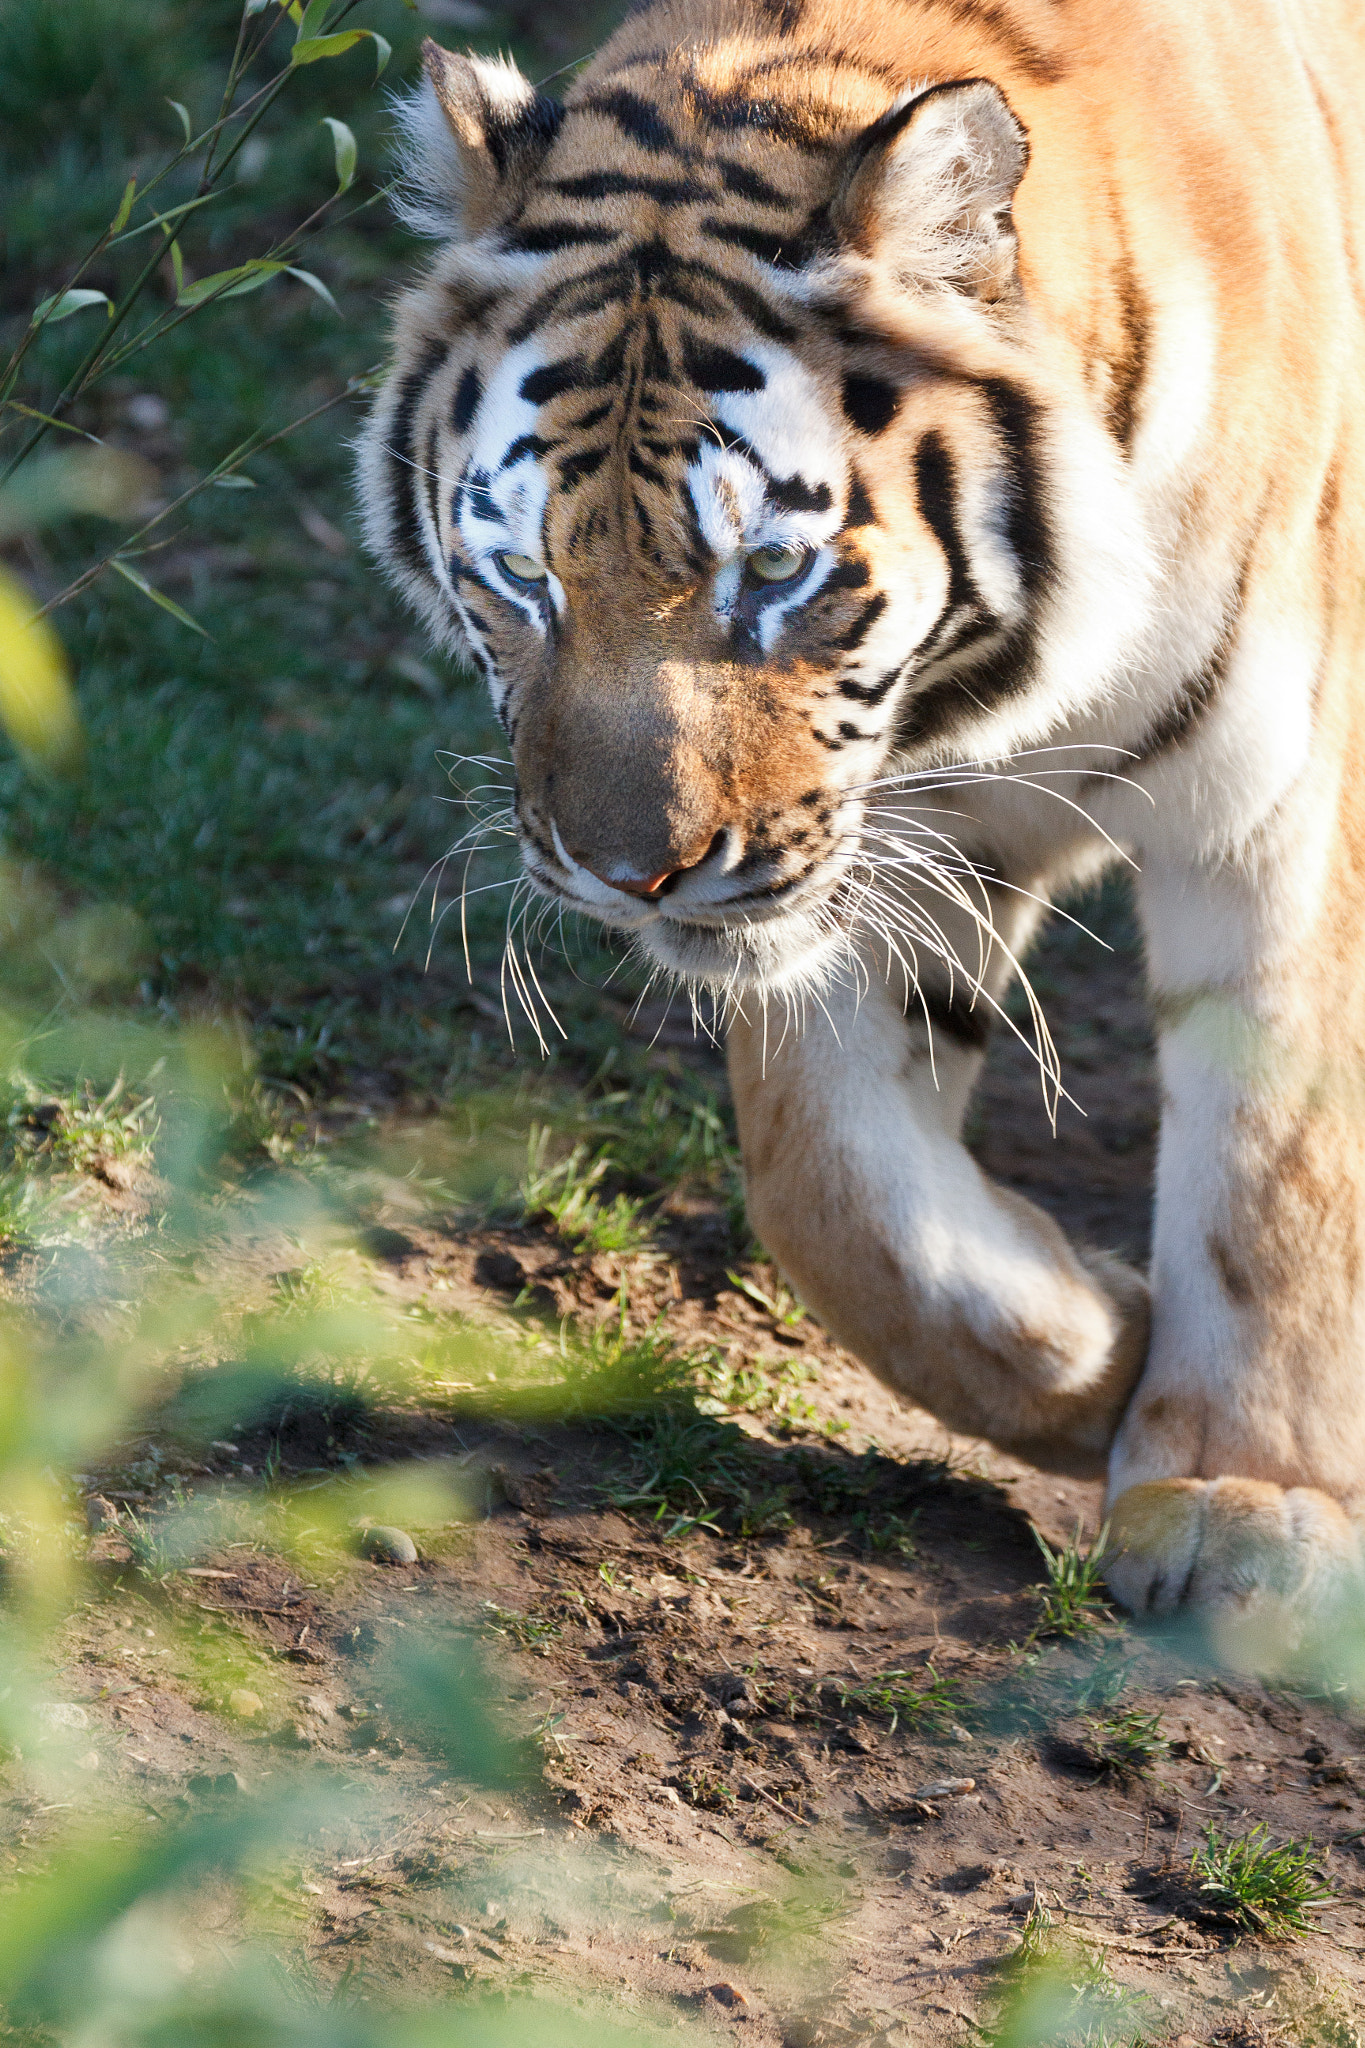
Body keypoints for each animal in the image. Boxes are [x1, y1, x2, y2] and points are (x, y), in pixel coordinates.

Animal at [358, 0, 1365, 1650]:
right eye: (523, 577)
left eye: (772, 570)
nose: (630, 876)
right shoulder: (880, 848)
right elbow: (836, 1192)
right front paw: (1091, 1349)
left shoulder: (1282, 803)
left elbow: (1277, 1167)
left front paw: (1246, 1509)